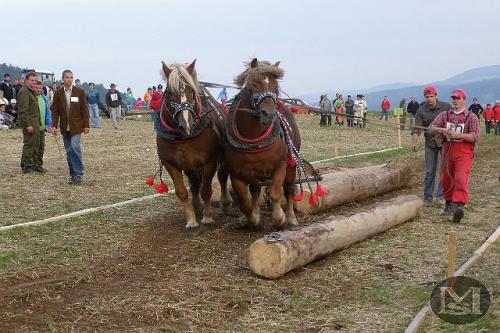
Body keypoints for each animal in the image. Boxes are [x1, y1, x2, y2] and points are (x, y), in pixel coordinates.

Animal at [226, 58, 300, 228]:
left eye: (276, 86)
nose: (269, 114)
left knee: (289, 188)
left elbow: (275, 192)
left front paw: (279, 218)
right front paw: (253, 218)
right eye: (253, 84)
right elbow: (246, 198)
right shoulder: (237, 174)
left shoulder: (280, 166)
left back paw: (291, 217)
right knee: (256, 190)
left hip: (291, 165)